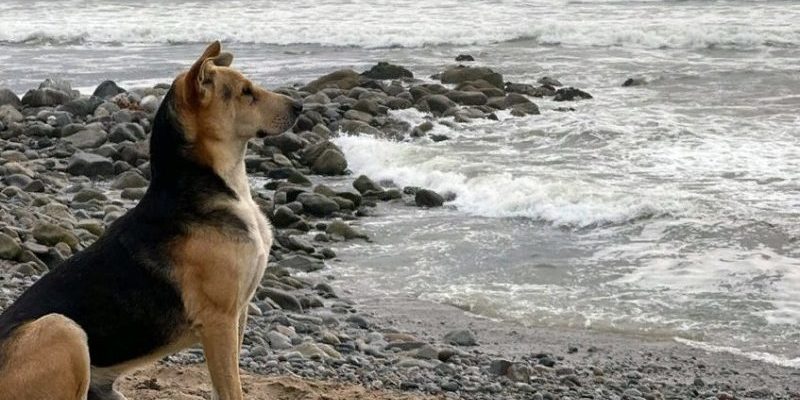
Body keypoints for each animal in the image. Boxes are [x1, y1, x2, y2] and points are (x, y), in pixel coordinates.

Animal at [0, 41, 304, 400]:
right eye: (246, 92)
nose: (300, 106)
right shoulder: (220, 321)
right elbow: (231, 389)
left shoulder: (238, 313)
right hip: (63, 329)